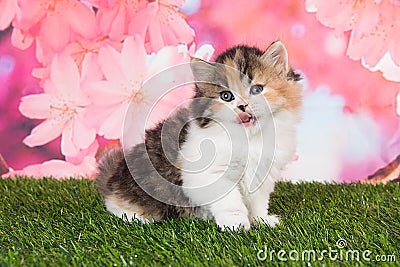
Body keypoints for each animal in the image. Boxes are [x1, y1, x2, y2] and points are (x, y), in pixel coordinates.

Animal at [97, 40, 302, 231]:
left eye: (257, 89)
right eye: (226, 96)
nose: (242, 106)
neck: (250, 140)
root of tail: (111, 180)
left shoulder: (262, 175)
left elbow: (258, 202)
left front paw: (262, 220)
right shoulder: (209, 174)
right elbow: (231, 202)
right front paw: (235, 224)